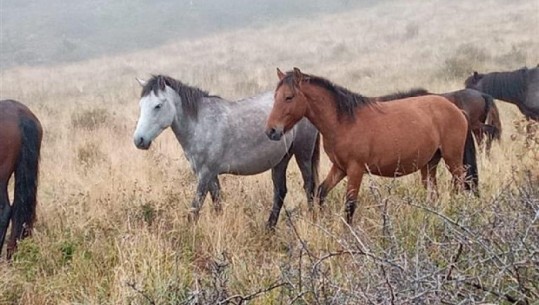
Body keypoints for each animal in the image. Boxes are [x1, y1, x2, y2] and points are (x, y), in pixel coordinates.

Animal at [133, 74, 318, 228]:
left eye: (157, 106)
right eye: (141, 105)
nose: (139, 140)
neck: (200, 123)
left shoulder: (205, 174)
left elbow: (195, 209)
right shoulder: (210, 174)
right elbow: (218, 204)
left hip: (303, 154)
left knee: (309, 187)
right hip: (281, 160)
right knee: (280, 192)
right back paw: (269, 229)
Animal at [264, 68, 476, 223]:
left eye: (289, 97)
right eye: (275, 97)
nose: (271, 131)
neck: (344, 122)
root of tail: (456, 109)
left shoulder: (355, 170)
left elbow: (350, 206)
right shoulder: (339, 168)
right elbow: (321, 193)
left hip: (452, 160)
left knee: (461, 184)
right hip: (430, 163)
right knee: (433, 193)